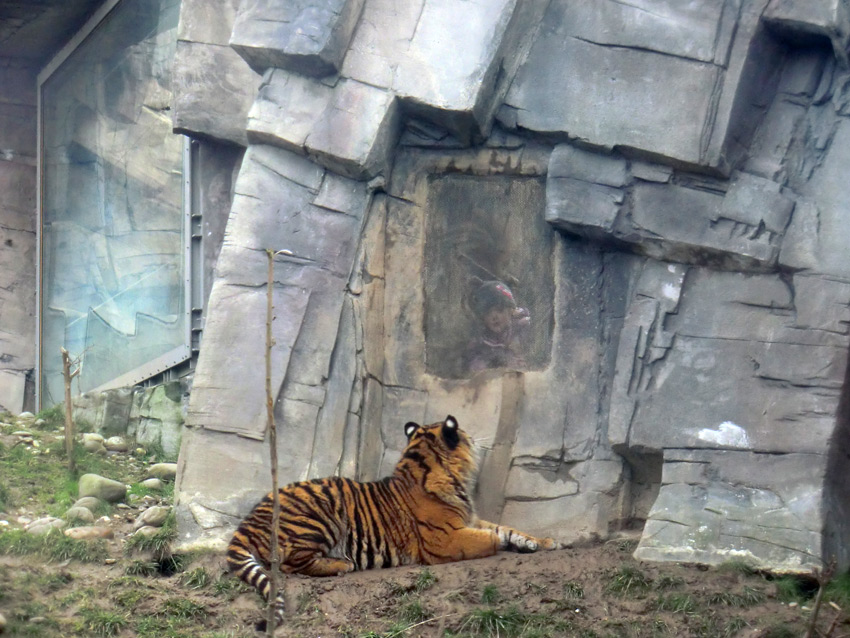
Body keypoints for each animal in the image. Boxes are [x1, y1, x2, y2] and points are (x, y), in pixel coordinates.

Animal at [227, 416, 556, 624]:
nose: (475, 437)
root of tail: (249, 520)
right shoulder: (444, 540)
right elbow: (490, 538)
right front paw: (501, 543)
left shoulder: (470, 518)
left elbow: (508, 529)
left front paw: (544, 542)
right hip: (321, 512)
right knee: (290, 564)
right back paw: (341, 564)